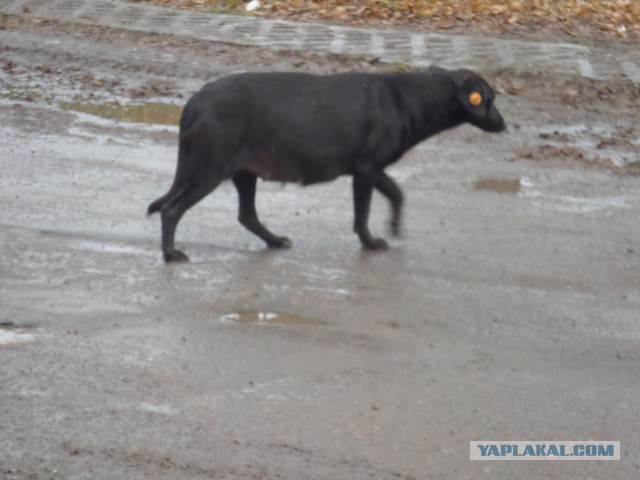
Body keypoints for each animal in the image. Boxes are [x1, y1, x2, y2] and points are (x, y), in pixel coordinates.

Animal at [148, 65, 502, 260]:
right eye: (489, 99)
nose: (505, 124)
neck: (409, 100)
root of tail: (194, 102)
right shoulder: (366, 170)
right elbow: (362, 215)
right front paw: (371, 242)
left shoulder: (371, 167)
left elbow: (398, 194)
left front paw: (394, 226)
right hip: (209, 168)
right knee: (171, 210)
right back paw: (171, 254)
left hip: (243, 172)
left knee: (247, 215)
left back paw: (275, 241)